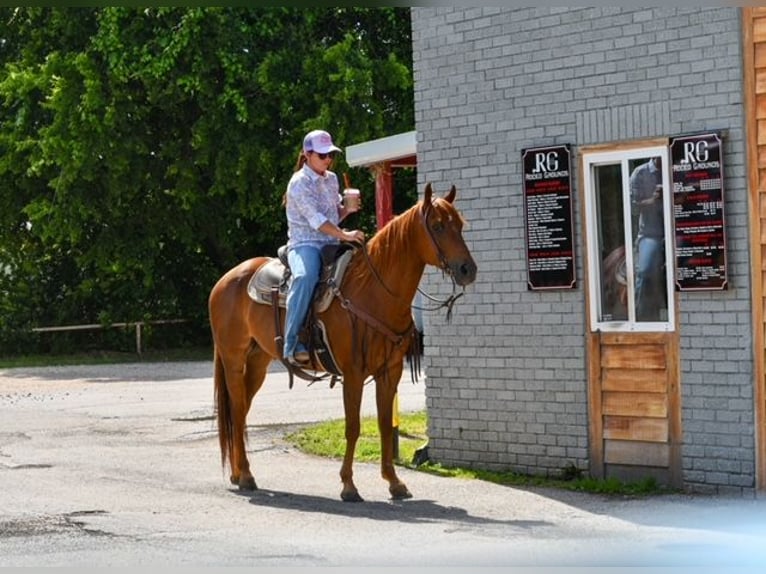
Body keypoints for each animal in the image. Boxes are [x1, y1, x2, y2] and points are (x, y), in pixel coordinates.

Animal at [208, 182, 477, 502]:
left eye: (460, 224)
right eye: (437, 226)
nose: (468, 270)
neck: (373, 291)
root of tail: (224, 280)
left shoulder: (389, 372)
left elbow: (385, 425)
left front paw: (394, 482)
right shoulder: (353, 372)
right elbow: (353, 427)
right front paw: (349, 485)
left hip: (258, 361)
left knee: (241, 412)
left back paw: (238, 473)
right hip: (233, 359)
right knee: (237, 411)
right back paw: (247, 476)